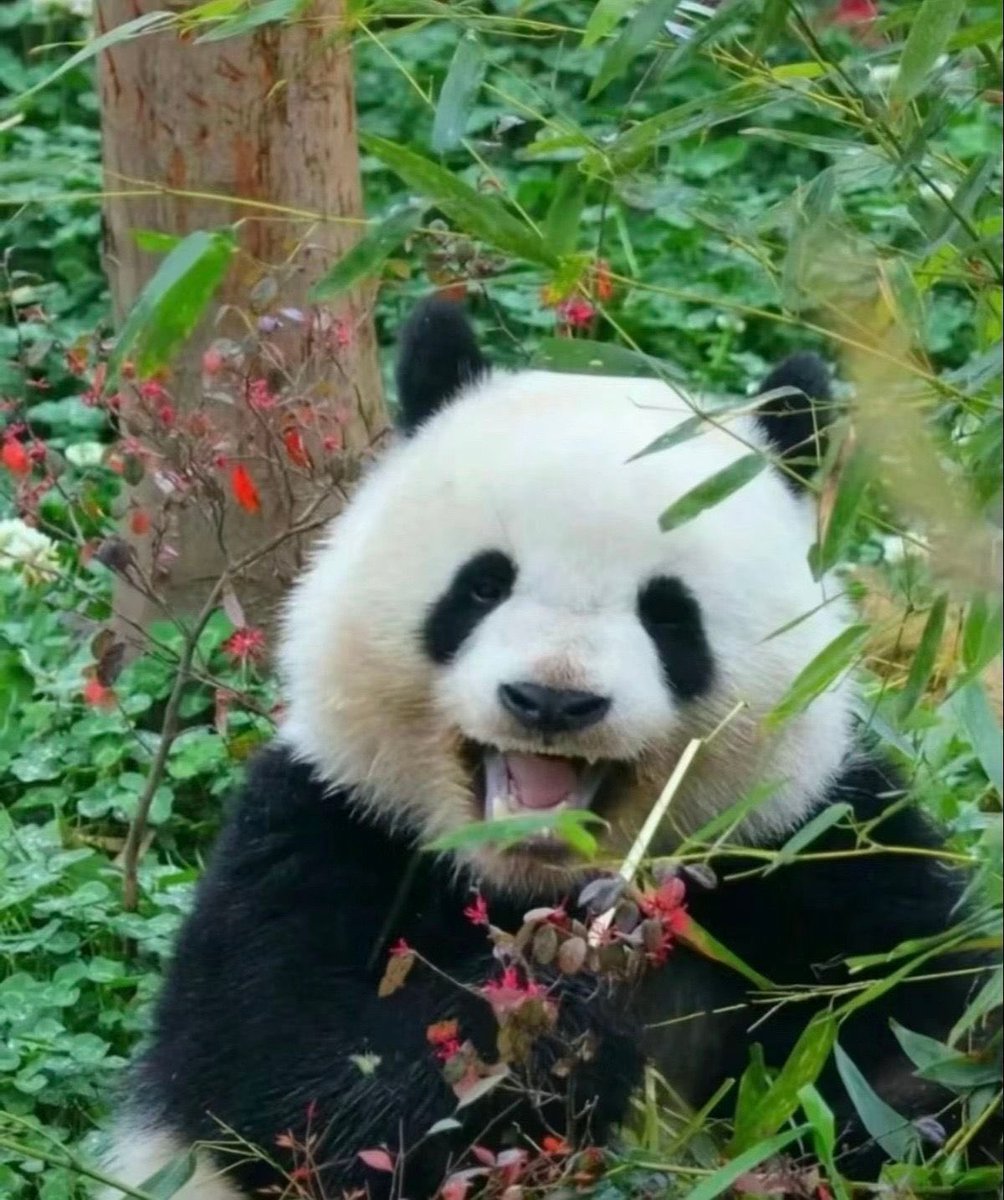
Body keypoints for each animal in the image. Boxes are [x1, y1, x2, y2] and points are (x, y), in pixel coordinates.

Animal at [104, 298, 981, 1199]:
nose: (552, 700)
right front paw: (562, 998)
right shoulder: (321, 834)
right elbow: (312, 1091)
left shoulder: (807, 843)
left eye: (670, 616)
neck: (529, 879)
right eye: (483, 585)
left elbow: (914, 1035)